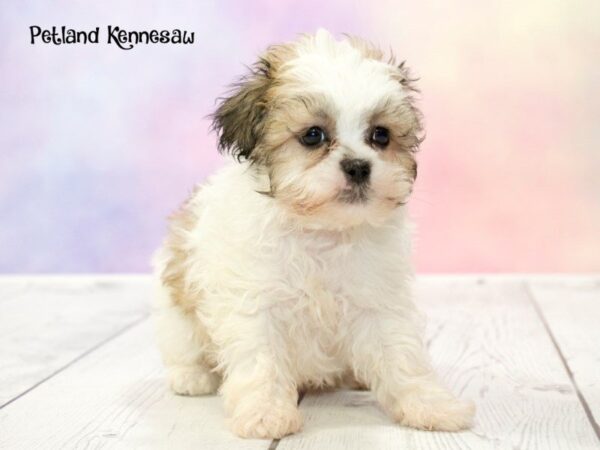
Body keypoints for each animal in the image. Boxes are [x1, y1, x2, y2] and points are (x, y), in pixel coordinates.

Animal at [154, 29, 474, 440]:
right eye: (312, 136)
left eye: (380, 135)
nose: (358, 166)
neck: (322, 231)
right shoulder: (254, 304)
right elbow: (261, 361)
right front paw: (266, 413)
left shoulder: (378, 300)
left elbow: (401, 356)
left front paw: (430, 404)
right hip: (175, 313)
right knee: (183, 347)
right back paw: (191, 377)